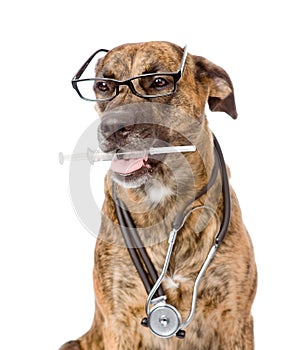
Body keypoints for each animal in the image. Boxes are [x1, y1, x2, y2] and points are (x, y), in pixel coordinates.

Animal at [60, 41, 256, 350]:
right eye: (103, 86)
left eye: (159, 82)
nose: (110, 128)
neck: (163, 198)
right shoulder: (119, 322)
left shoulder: (236, 321)